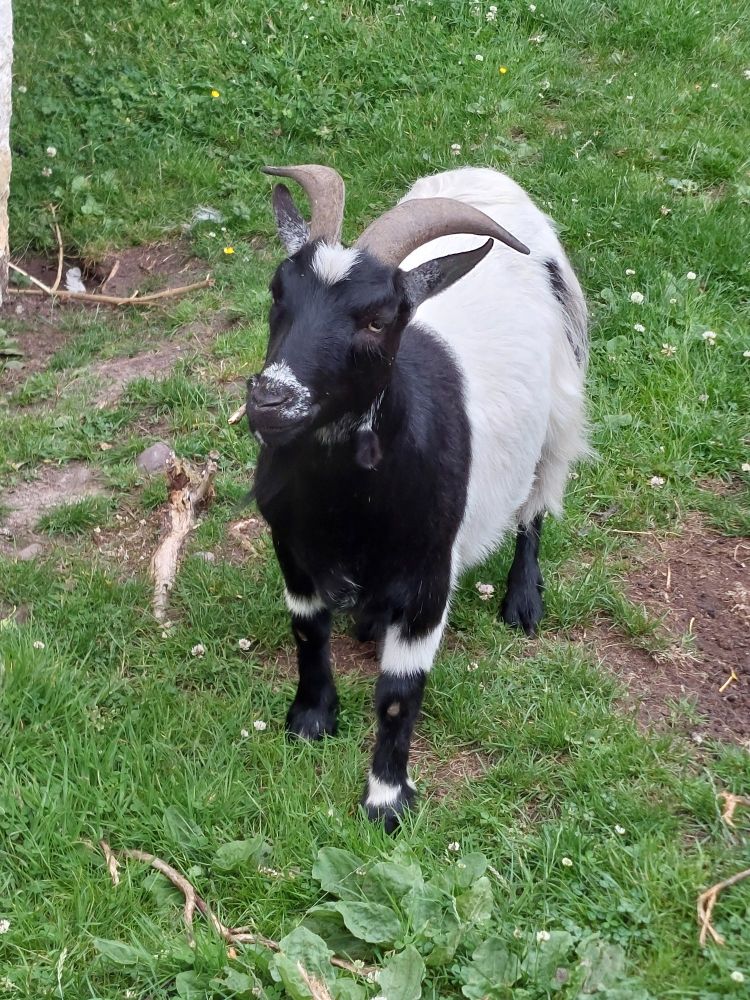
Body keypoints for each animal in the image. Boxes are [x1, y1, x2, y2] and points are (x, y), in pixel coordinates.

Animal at [247, 164, 589, 830]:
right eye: (277, 292)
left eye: (380, 319)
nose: (270, 401)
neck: (345, 511)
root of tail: (484, 173)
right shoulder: (291, 548)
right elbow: (308, 632)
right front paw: (310, 720)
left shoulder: (430, 574)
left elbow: (400, 694)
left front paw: (385, 801)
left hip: (560, 408)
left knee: (536, 503)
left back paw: (523, 600)